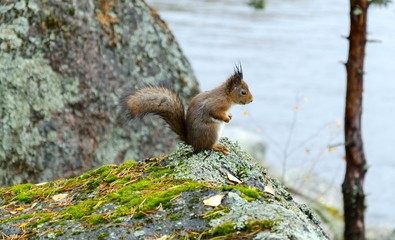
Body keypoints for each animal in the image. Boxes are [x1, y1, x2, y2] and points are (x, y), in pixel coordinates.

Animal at [120, 65, 255, 156]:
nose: (252, 100)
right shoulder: (215, 104)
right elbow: (214, 112)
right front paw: (226, 118)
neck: (226, 96)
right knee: (206, 147)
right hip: (211, 131)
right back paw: (218, 147)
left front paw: (230, 116)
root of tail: (191, 142)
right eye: (243, 92)